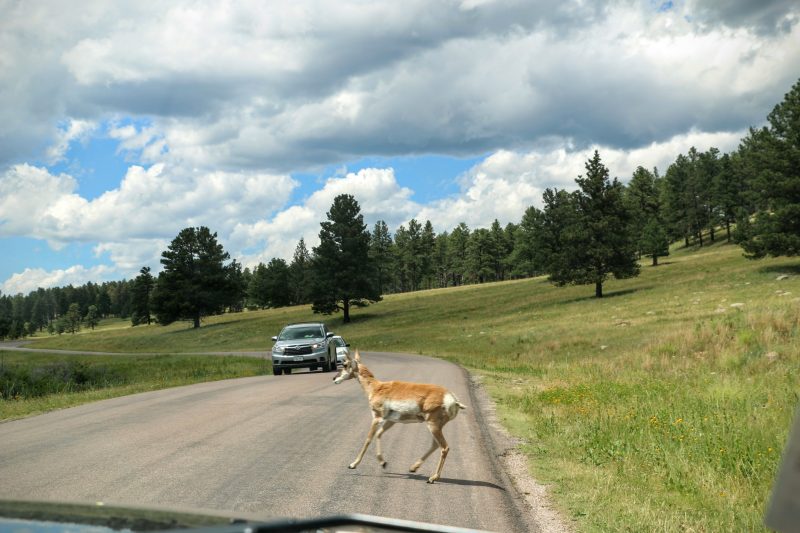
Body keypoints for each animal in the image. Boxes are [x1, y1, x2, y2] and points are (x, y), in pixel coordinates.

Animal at [332, 350, 468, 482]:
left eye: (345, 364)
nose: (334, 378)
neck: (376, 387)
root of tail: (452, 398)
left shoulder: (376, 418)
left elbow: (368, 439)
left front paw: (353, 464)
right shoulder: (391, 421)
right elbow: (379, 434)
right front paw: (383, 463)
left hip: (433, 425)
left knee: (444, 447)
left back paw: (432, 478)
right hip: (436, 426)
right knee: (435, 445)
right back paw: (413, 468)